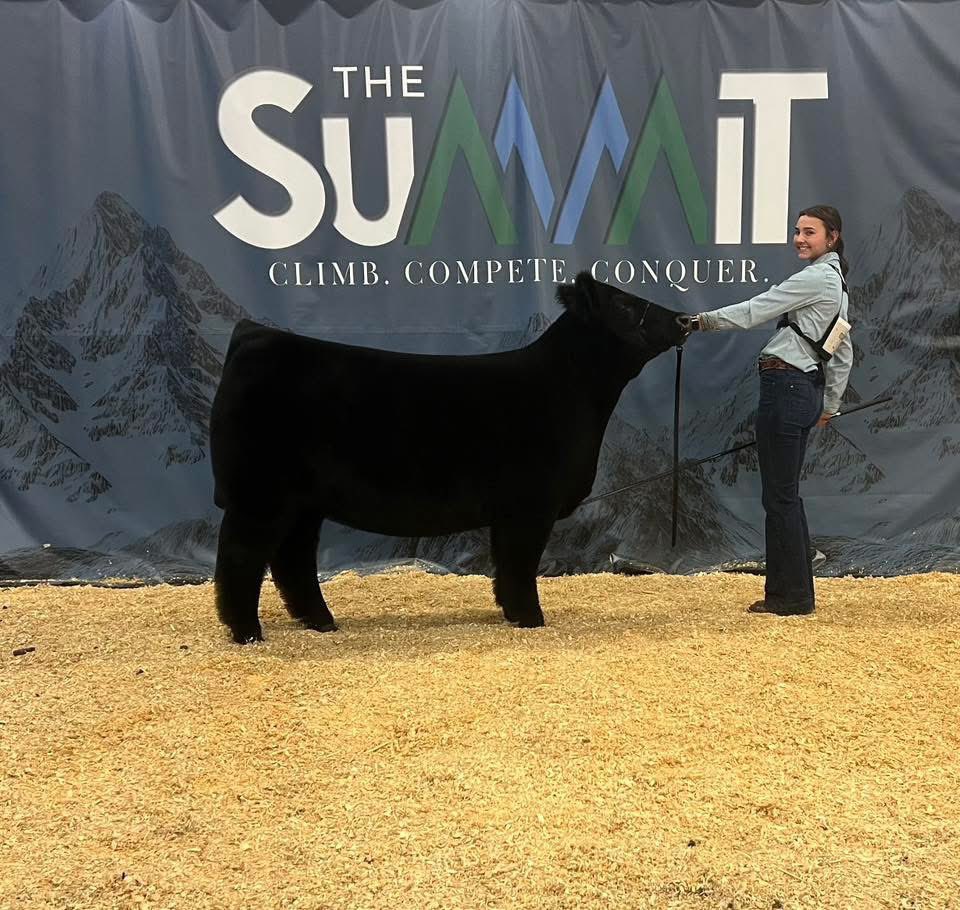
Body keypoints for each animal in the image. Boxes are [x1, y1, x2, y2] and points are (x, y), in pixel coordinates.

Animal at [210, 271, 689, 643]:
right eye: (624, 304)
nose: (683, 319)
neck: (572, 390)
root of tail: (254, 334)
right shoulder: (530, 504)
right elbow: (520, 563)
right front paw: (531, 619)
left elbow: (506, 565)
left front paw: (512, 613)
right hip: (260, 494)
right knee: (241, 557)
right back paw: (247, 632)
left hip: (302, 502)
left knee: (291, 559)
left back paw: (320, 622)